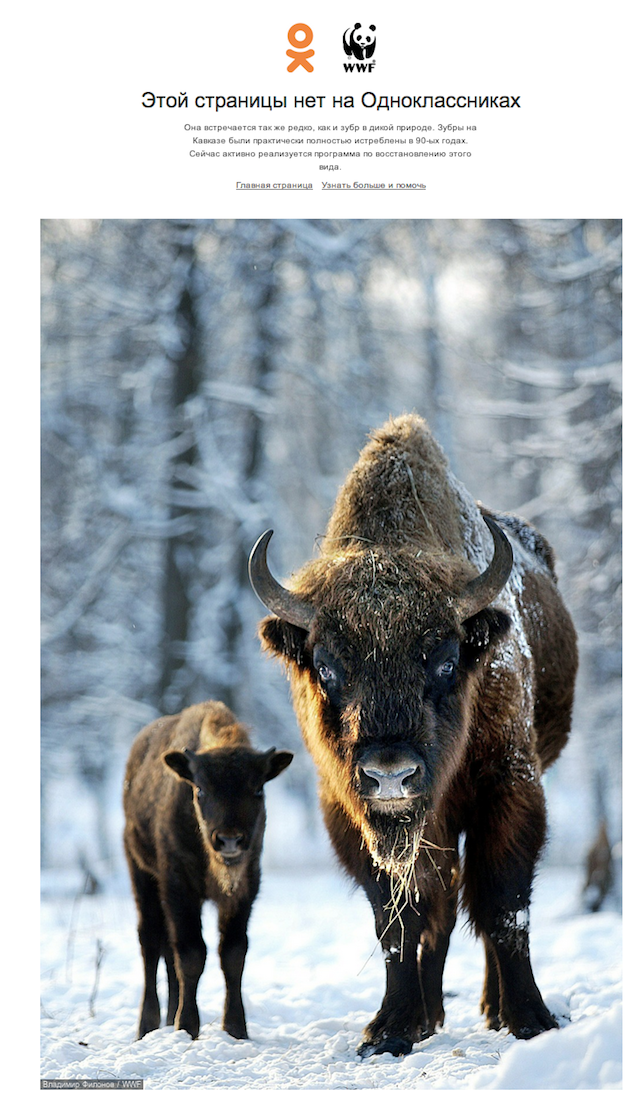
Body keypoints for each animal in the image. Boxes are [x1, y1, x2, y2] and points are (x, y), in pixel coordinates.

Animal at [122, 700, 292, 1038]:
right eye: (200, 789)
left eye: (258, 790)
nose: (229, 840)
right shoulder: (179, 887)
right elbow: (191, 954)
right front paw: (187, 1026)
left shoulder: (245, 888)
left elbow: (233, 953)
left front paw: (236, 1028)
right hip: (141, 874)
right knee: (150, 941)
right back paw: (148, 1025)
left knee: (167, 950)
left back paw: (168, 1016)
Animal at [247, 416, 576, 1055]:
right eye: (326, 665)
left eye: (446, 659)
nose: (390, 774)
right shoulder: (352, 814)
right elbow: (397, 920)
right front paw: (392, 1030)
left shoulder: (512, 786)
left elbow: (505, 904)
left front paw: (532, 1020)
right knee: (440, 908)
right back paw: (432, 1014)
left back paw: (492, 1009)